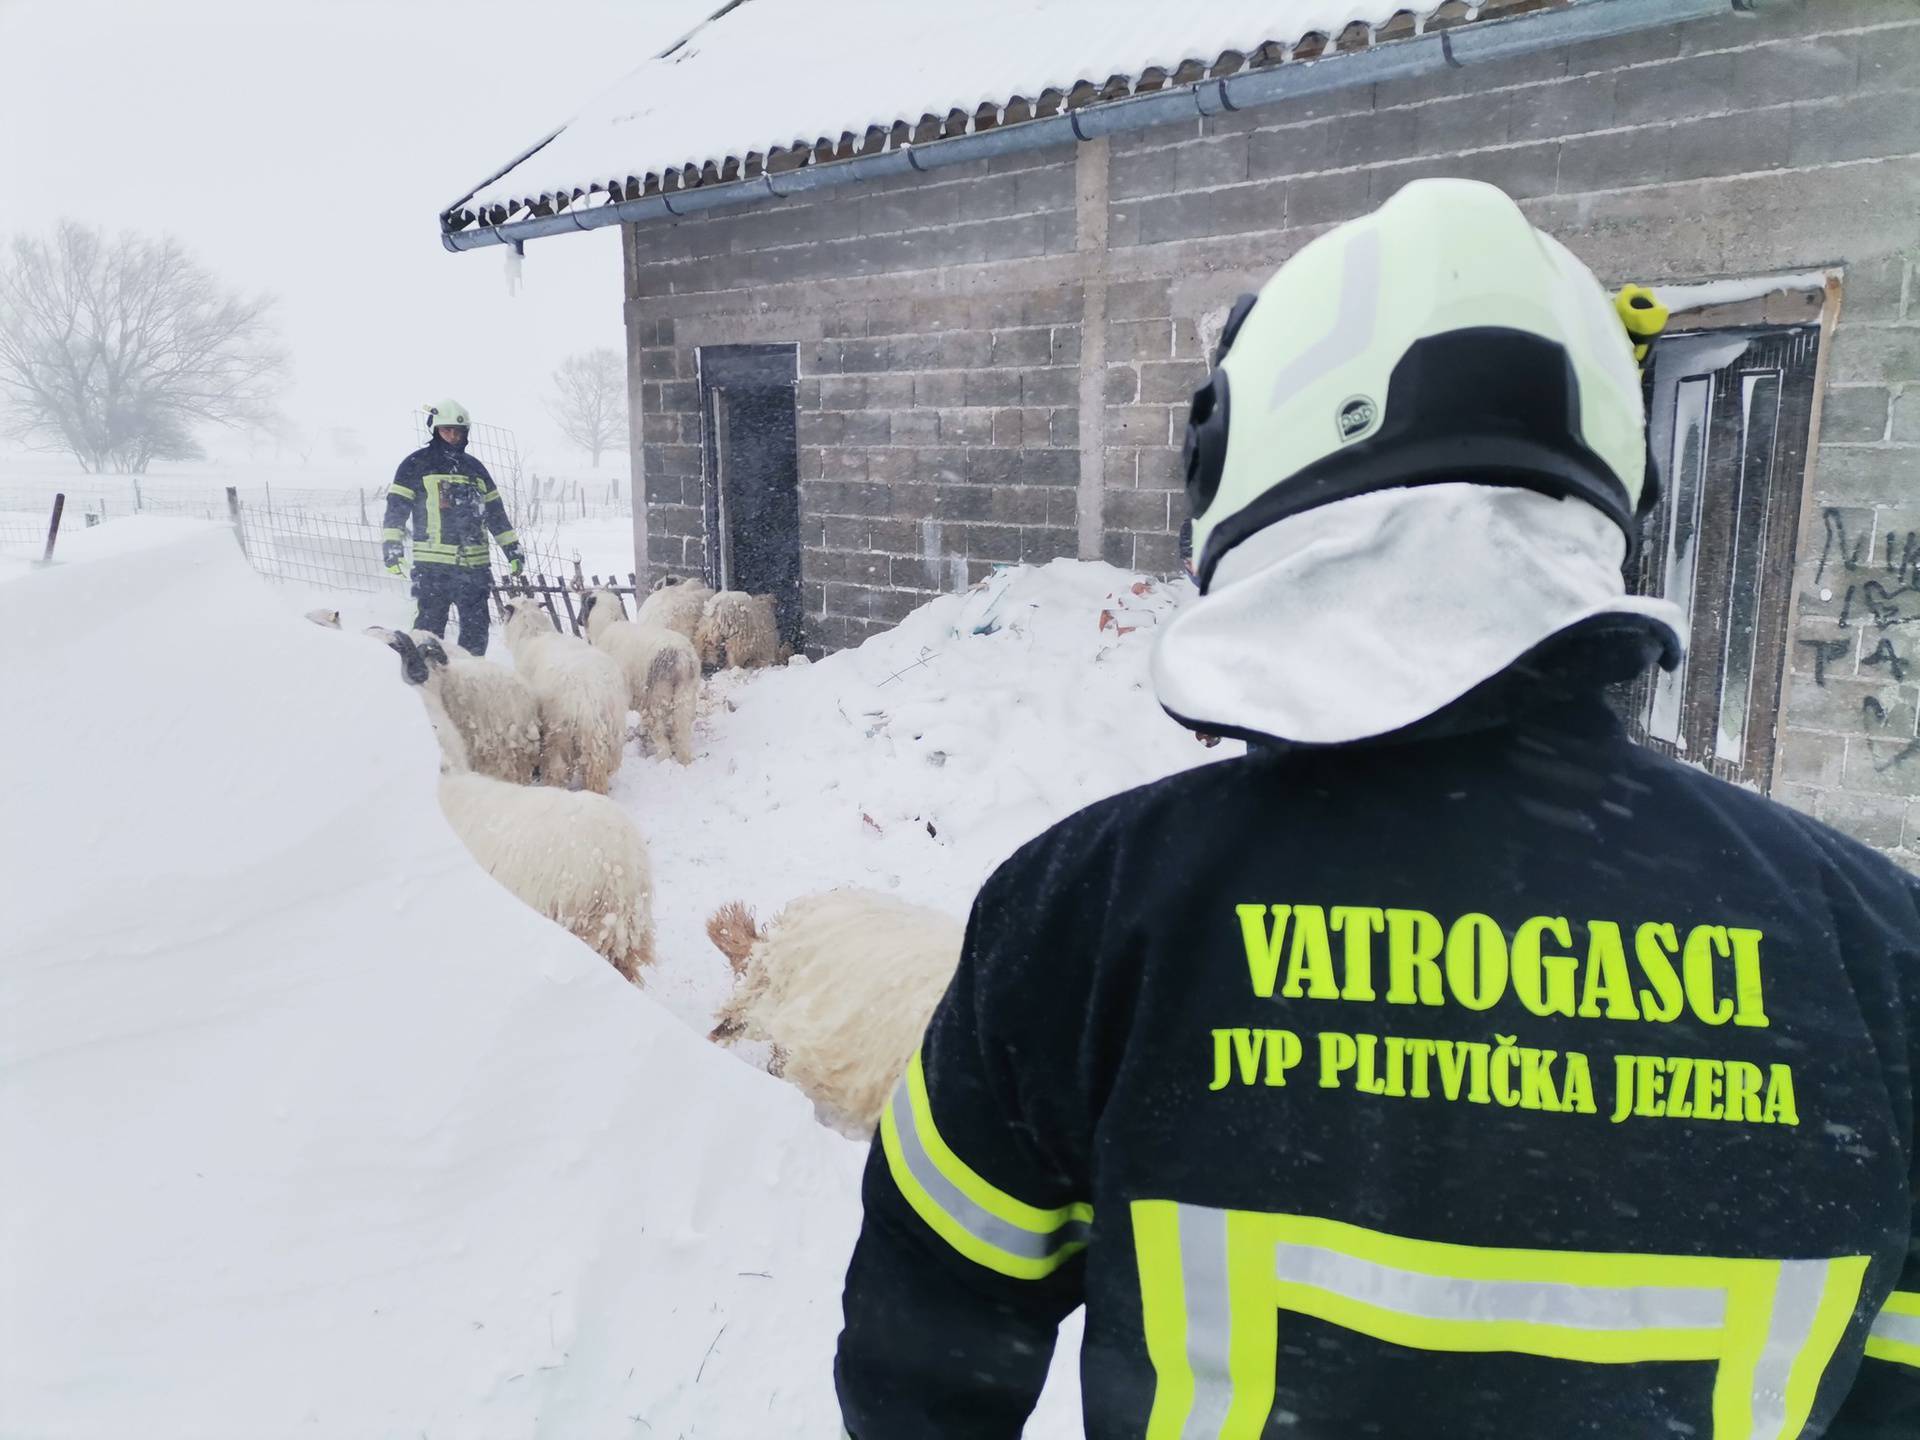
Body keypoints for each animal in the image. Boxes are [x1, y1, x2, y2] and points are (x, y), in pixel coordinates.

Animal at [503, 602, 622, 794]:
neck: (533, 633)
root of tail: (588, 696)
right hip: (612, 730)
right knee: (603, 766)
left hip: (560, 734)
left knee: (557, 769)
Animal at [576, 587, 698, 768]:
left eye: (583, 603)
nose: (577, 621)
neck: (606, 626)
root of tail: (680, 654)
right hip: (686, 693)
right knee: (682, 728)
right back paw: (685, 759)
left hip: (657, 697)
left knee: (659, 732)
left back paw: (662, 758)